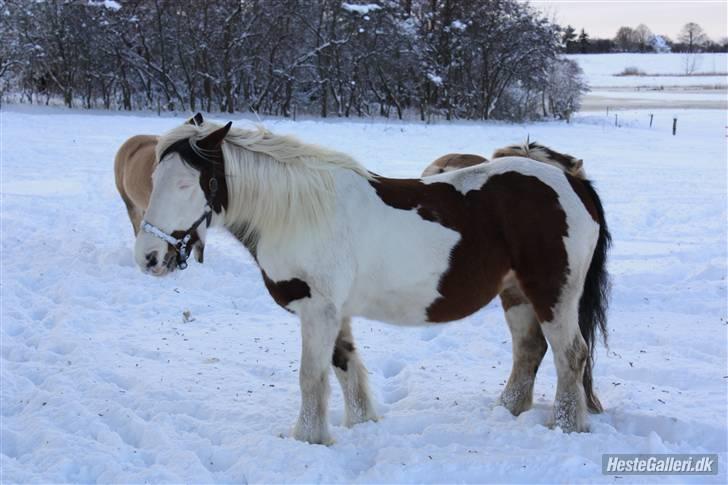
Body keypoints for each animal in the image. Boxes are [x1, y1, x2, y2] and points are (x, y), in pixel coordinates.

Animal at [135, 112, 608, 442]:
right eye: (155, 178)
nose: (148, 257)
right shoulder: (334, 312)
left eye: (186, 185)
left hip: (553, 293)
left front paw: (309, 439)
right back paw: (507, 410)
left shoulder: (318, 310)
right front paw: (359, 425)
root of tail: (571, 182)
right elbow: (344, 367)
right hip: (516, 294)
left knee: (571, 355)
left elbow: (311, 377)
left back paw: (566, 427)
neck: (298, 214)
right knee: (529, 351)